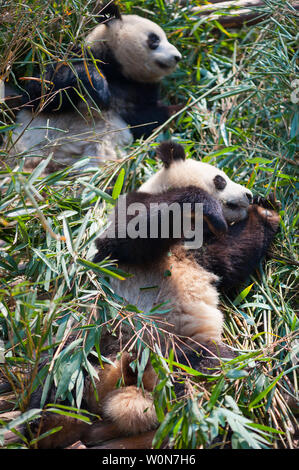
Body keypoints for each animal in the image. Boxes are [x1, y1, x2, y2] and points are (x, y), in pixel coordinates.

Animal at [9, 0, 182, 173]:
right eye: (154, 39)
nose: (177, 57)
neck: (120, 73)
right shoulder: (80, 56)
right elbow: (40, 93)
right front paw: (98, 87)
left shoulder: (141, 93)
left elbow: (150, 121)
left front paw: (179, 110)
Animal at [26, 142, 282, 448]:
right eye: (220, 179)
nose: (248, 194)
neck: (191, 227)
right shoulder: (130, 211)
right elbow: (130, 231)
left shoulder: (206, 253)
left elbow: (231, 256)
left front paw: (267, 208)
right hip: (91, 337)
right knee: (55, 376)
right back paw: (51, 423)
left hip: (179, 349)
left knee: (211, 363)